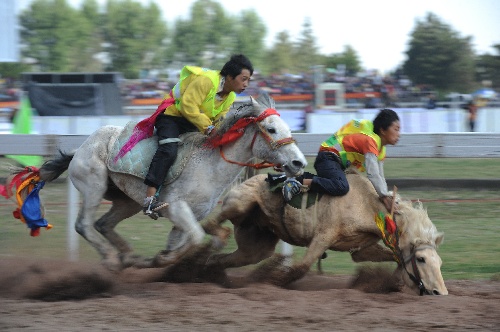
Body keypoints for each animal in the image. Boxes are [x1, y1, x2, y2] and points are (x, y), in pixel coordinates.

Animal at [36, 94, 304, 272]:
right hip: (94, 186)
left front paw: (165, 261)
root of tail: (80, 148)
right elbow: (196, 237)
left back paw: (130, 258)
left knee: (104, 224)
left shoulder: (187, 218)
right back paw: (112, 259)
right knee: (83, 225)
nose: (299, 162)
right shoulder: (177, 208)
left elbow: (199, 239)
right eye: (271, 129)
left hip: (128, 202)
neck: (209, 166)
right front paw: (162, 260)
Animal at [205, 172, 448, 294]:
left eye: (439, 262)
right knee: (212, 221)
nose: (441, 292)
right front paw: (273, 283)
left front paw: (394, 282)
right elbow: (300, 268)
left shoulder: (361, 249)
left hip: (256, 246)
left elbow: (395, 258)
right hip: (240, 203)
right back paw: (218, 235)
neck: (367, 205)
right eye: (421, 259)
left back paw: (210, 273)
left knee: (222, 259)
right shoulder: (322, 237)